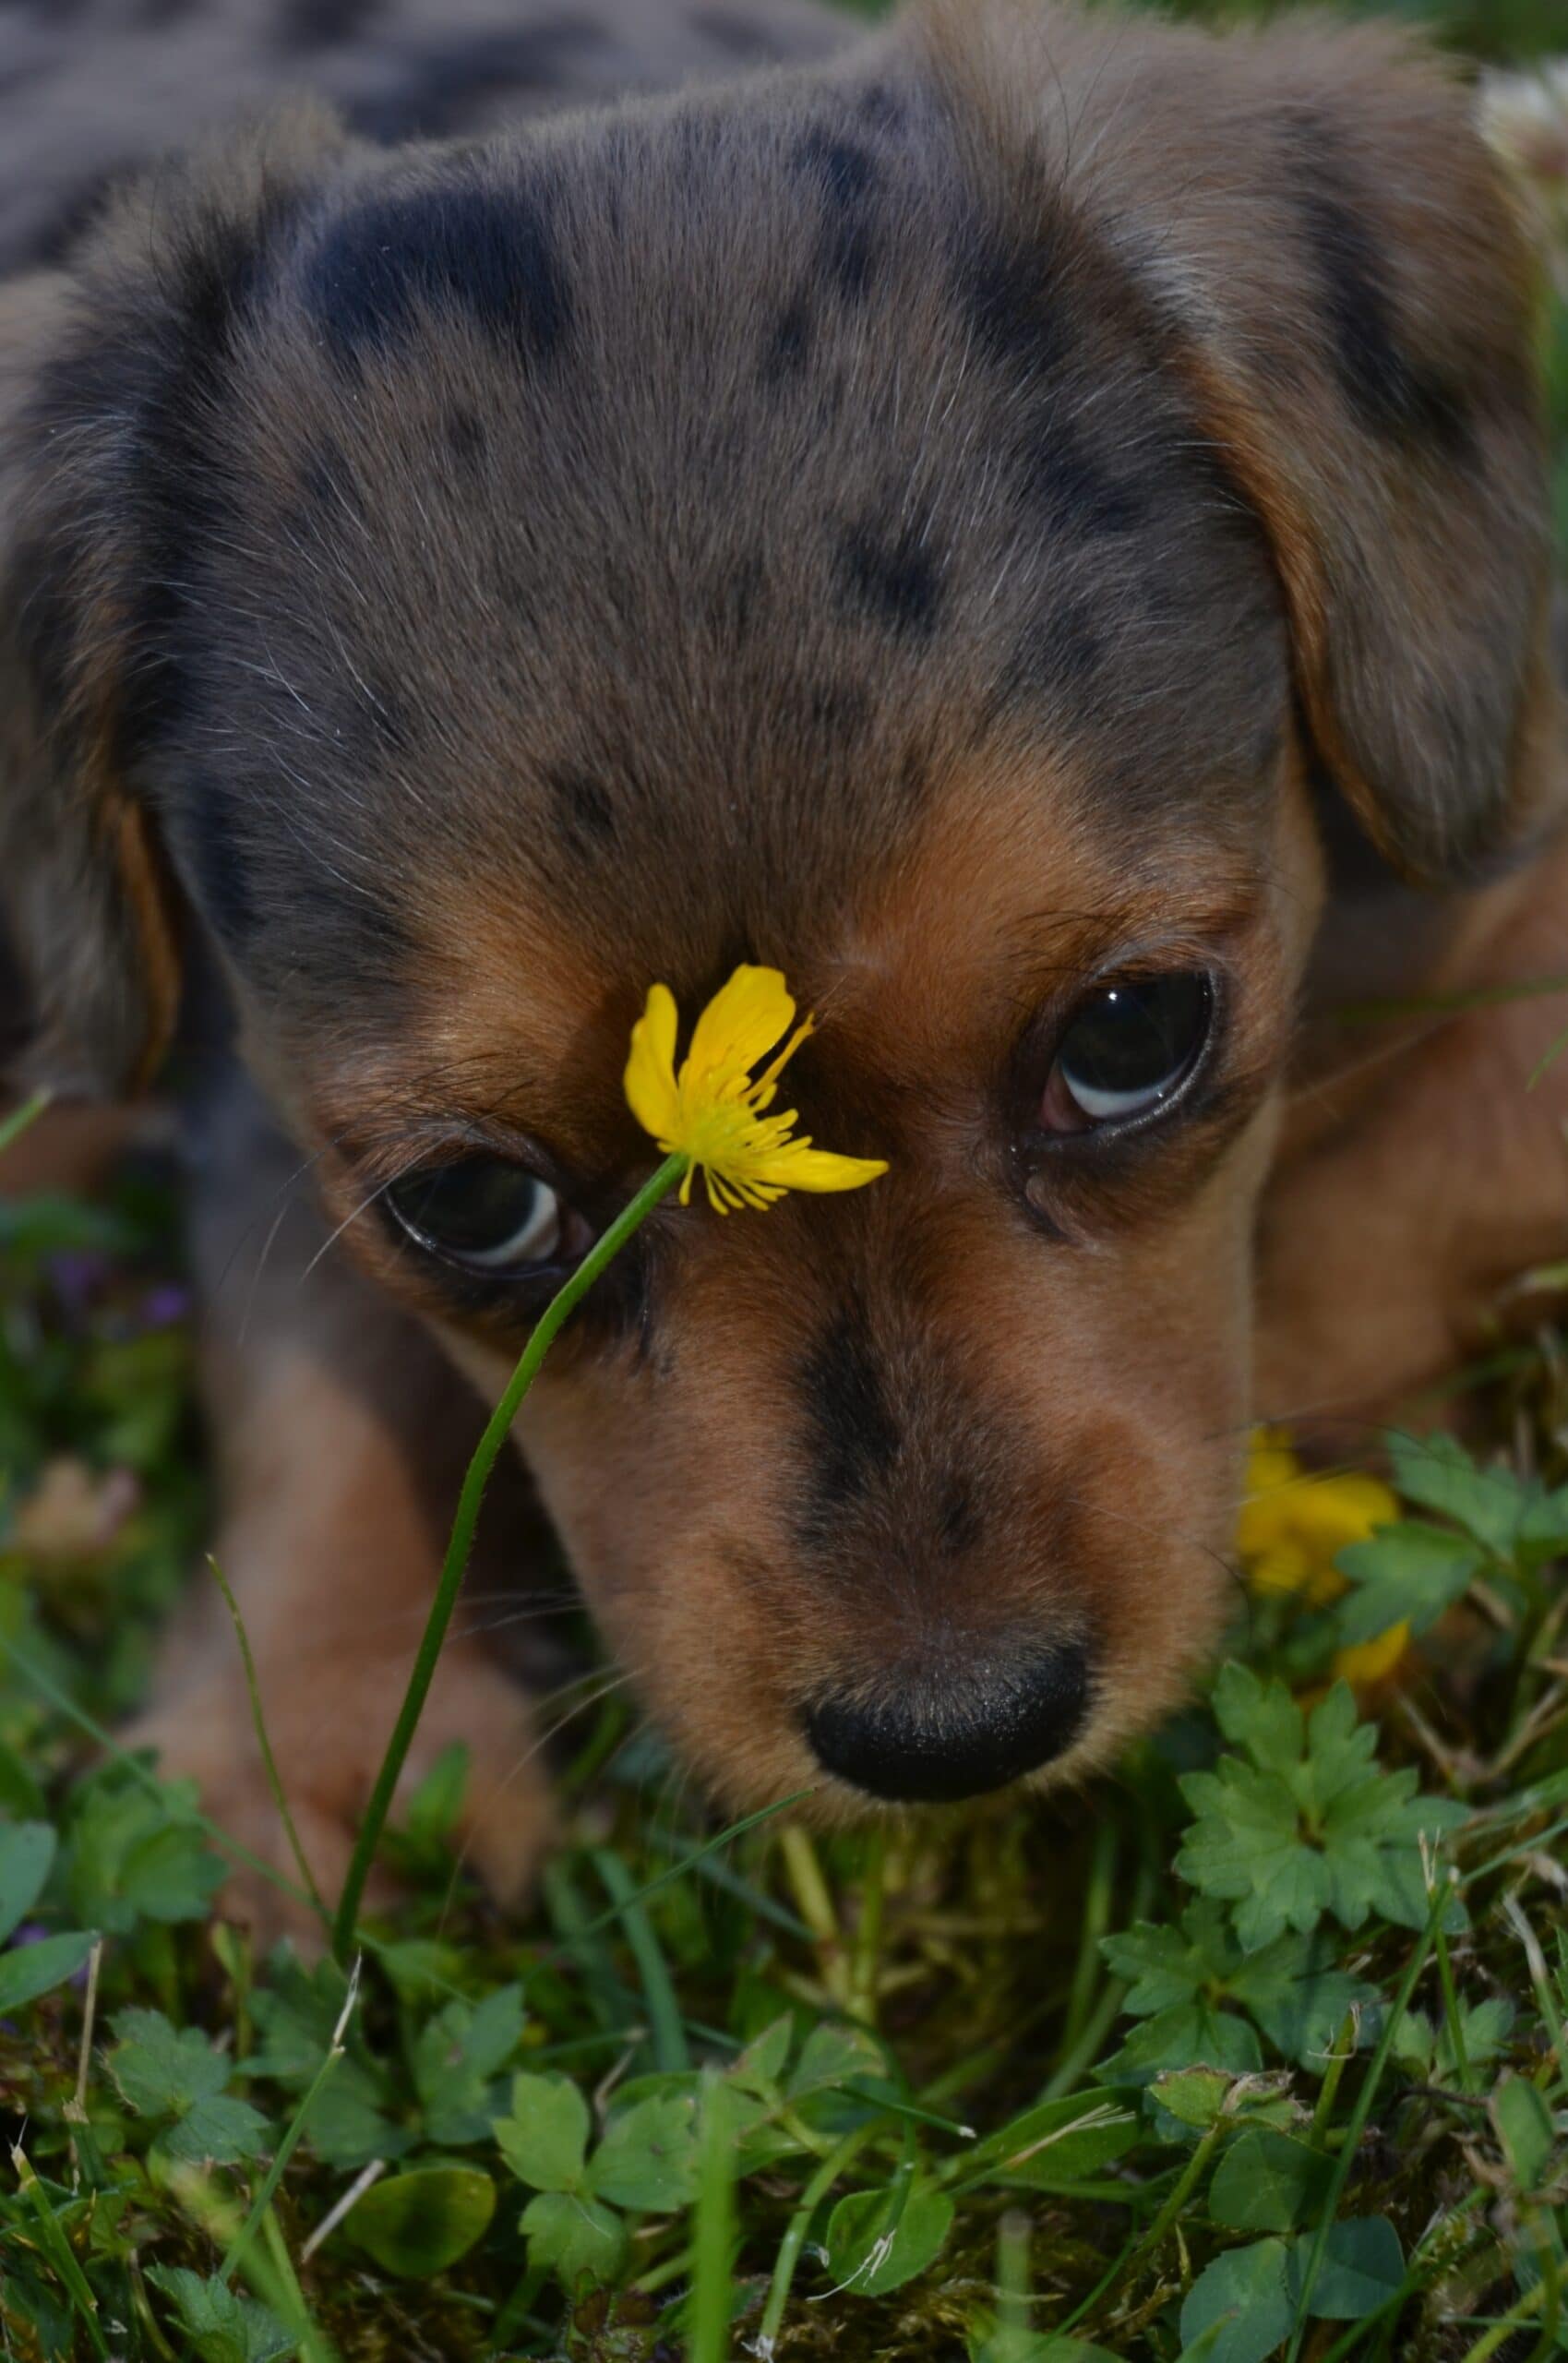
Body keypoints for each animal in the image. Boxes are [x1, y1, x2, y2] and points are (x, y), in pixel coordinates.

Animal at [3, 0, 1568, 1918]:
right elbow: (316, 1362)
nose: (953, 1730)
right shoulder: (249, 1074)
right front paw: (306, 1745)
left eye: (1131, 1032)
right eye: (468, 1203)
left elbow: (1425, 1151)